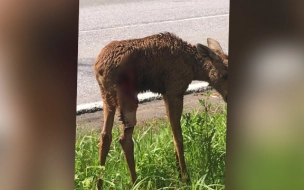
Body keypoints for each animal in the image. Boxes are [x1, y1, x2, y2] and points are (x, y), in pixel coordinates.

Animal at [94, 31, 227, 188]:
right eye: (225, 75)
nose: (229, 97)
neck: (193, 68)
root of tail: (99, 68)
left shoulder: (165, 94)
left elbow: (173, 133)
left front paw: (178, 173)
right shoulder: (175, 91)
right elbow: (178, 137)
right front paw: (185, 178)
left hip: (106, 96)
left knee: (105, 135)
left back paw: (99, 184)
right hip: (127, 95)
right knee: (124, 139)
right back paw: (136, 182)